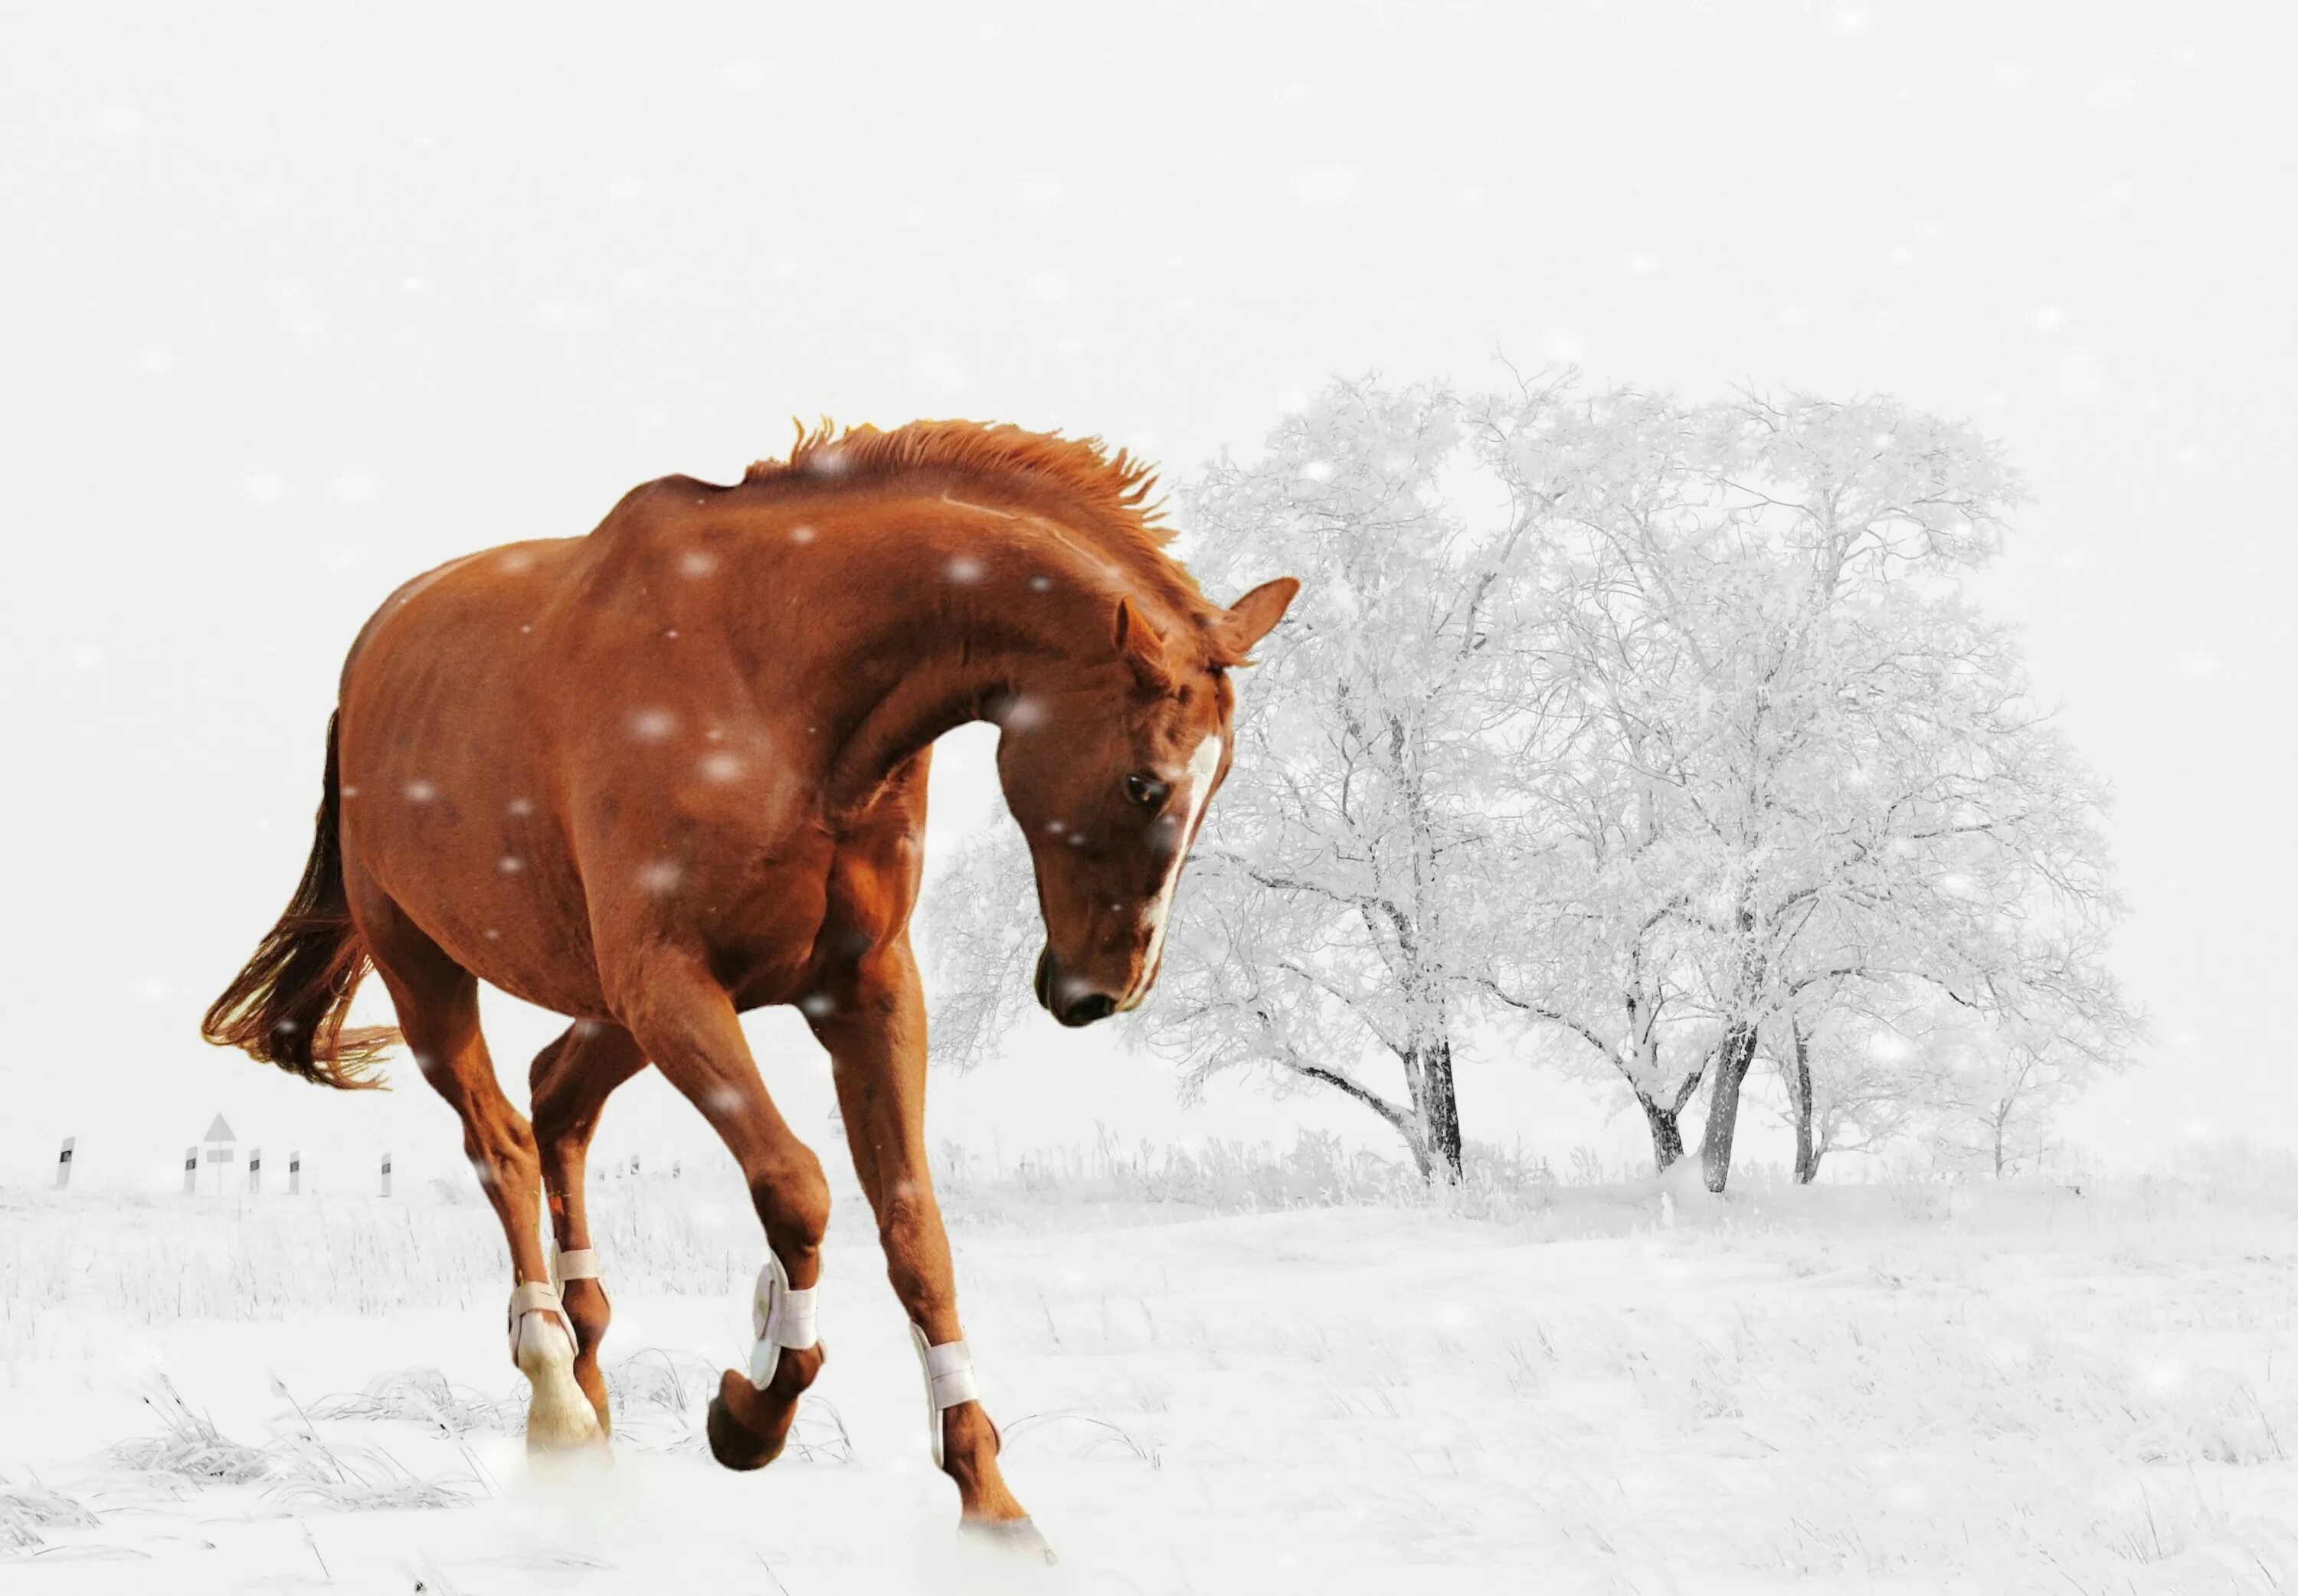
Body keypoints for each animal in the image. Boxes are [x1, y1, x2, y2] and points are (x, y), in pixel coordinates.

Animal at [202, 417, 1296, 1552]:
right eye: (1146, 784)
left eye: (1218, 781)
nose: (1102, 991)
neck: (779, 684)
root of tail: (367, 659)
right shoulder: (673, 984)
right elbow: (799, 1187)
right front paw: (750, 1409)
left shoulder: (864, 991)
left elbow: (916, 1231)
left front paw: (988, 1499)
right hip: (432, 970)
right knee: (502, 1141)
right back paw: (557, 1401)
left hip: (609, 1007)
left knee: (556, 1098)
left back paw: (593, 1388)